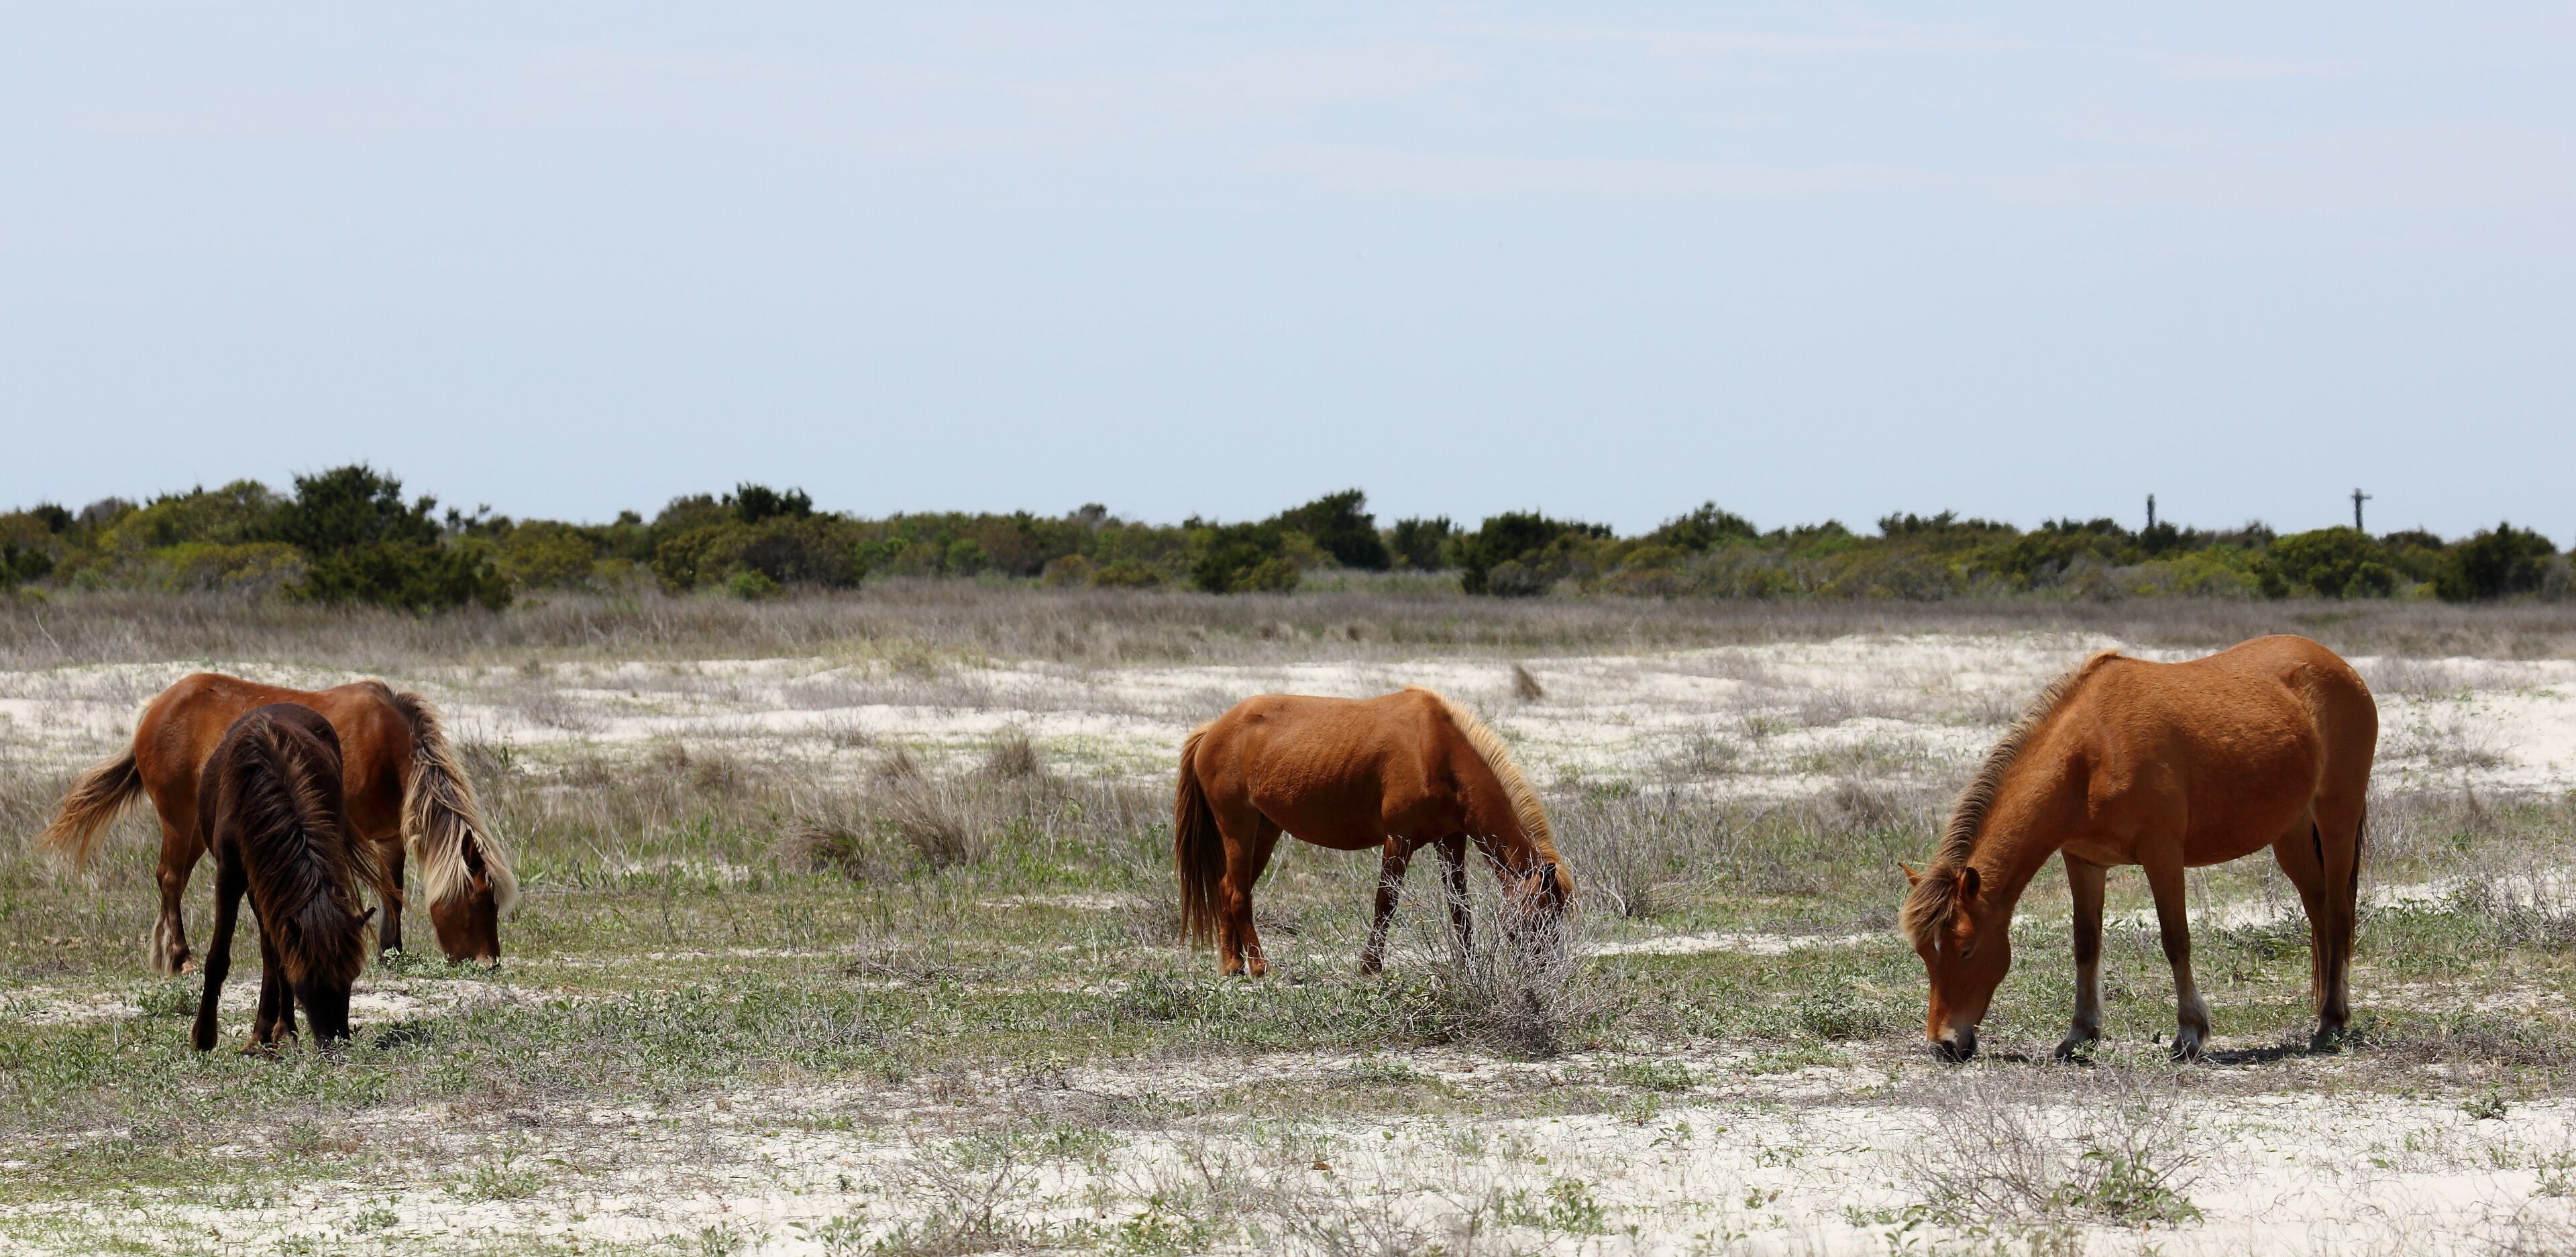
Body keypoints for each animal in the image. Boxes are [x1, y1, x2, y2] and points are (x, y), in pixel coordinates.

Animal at [42, 673, 515, 972]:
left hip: (195, 828)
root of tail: (155, 707)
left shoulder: (389, 837)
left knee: (170, 878)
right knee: (171, 879)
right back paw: (181, 957)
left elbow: (393, 893)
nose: (489, 962)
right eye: (479, 901)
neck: (389, 747)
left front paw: (391, 951)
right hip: (178, 818)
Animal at [190, 704, 396, 1052]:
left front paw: (278, 1029)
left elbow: (278, 955)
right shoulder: (230, 876)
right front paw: (204, 1036)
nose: (336, 1041)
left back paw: (277, 1028)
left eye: (352, 975)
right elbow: (218, 957)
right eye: (310, 979)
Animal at [1173, 686, 1572, 977]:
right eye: (1538, 917)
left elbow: (1459, 907)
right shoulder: (1400, 839)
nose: (1542, 971)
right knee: (1238, 893)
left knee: (1228, 887)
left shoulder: (1450, 841)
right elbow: (1387, 900)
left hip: (1264, 831)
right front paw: (1369, 966)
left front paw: (1469, 964)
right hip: (1237, 828)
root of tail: (1212, 730)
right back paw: (1258, 966)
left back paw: (1232, 964)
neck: (1437, 750)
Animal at [1900, 635, 2377, 1063]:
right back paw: (2328, 1013)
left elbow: (2176, 939)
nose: (1943, 1045)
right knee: (2318, 912)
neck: (2092, 752)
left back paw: (2331, 1022)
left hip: (2337, 817)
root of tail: (2342, 668)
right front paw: (2080, 1034)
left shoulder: (2162, 854)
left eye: (1967, 948)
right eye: (1924, 952)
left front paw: (2190, 1034)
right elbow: (2086, 944)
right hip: (2291, 835)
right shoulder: (2084, 860)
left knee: (2338, 913)